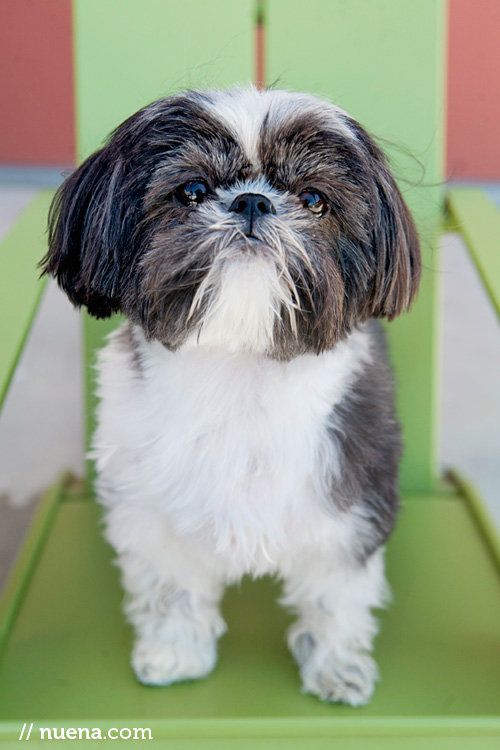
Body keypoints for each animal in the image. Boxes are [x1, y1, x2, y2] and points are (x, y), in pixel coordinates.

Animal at [43, 85, 420, 708]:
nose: (251, 202)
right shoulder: (150, 514)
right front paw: (174, 654)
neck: (241, 369)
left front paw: (337, 668)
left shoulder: (348, 503)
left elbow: (335, 598)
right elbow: (171, 590)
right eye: (192, 191)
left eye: (314, 199)